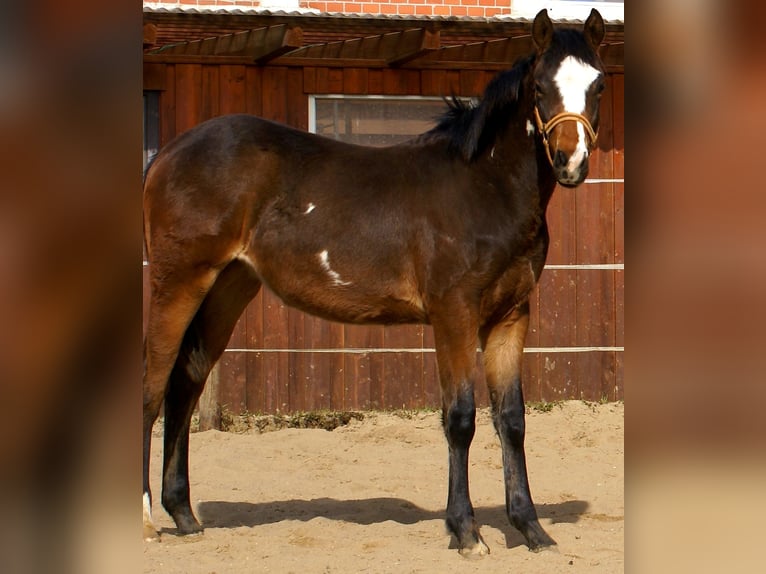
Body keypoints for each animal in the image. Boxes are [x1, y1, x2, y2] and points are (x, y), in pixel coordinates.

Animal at [143, 8, 606, 556]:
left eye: (598, 85)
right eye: (539, 86)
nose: (570, 161)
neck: (482, 188)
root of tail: (166, 154)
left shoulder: (510, 315)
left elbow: (511, 419)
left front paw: (531, 529)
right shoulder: (454, 313)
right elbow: (460, 418)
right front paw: (466, 532)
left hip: (226, 290)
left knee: (184, 386)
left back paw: (184, 515)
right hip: (178, 283)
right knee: (152, 387)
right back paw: (146, 521)